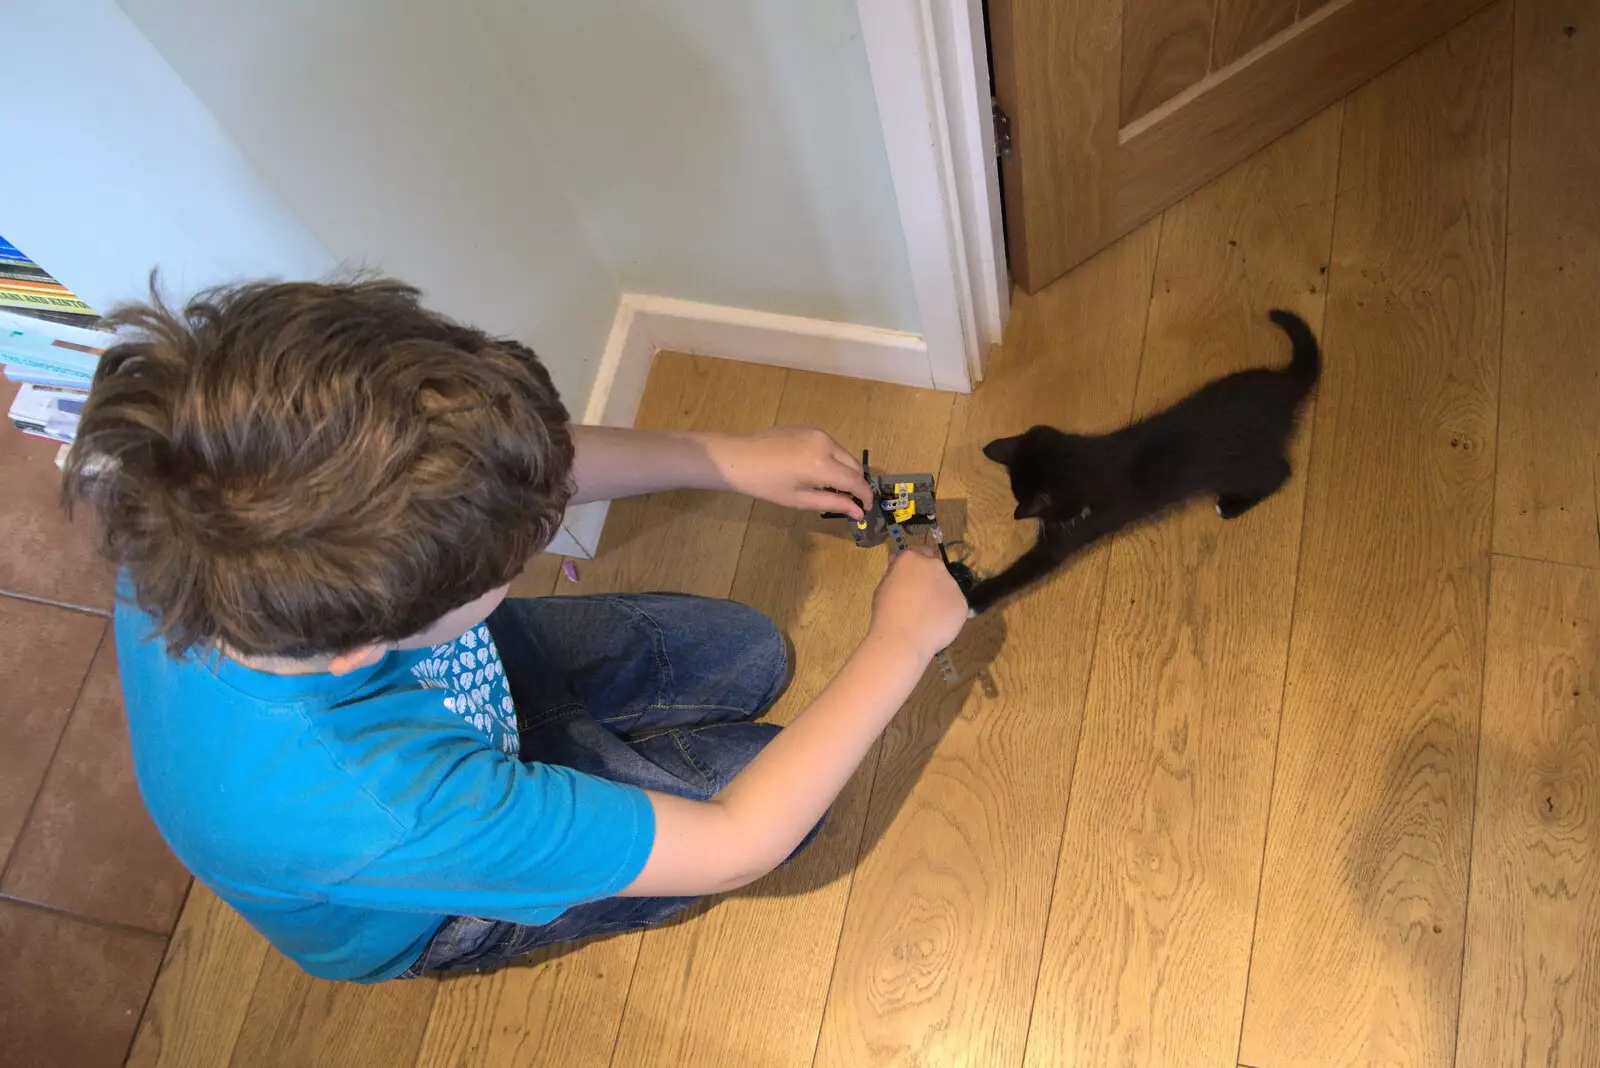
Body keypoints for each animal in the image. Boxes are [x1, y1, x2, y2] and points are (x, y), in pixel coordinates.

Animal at [960, 308, 1324, 613]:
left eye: (1036, 507)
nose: (1035, 521)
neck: (1083, 458)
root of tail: (1286, 387)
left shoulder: (1065, 539)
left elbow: (1025, 568)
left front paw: (972, 599)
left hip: (1242, 465)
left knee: (1279, 471)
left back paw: (1231, 504)